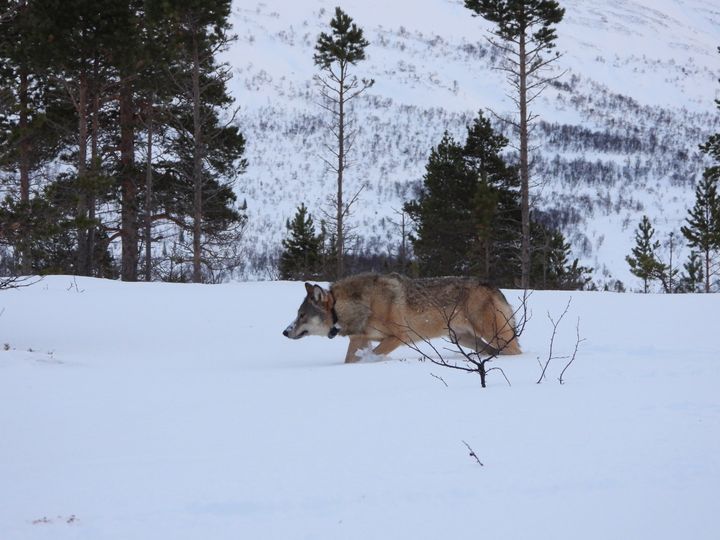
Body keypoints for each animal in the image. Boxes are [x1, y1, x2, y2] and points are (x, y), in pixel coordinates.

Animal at [282, 274, 524, 362]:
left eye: (302, 315)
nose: (285, 332)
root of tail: (492, 286)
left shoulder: (399, 337)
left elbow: (374, 355)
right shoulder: (360, 339)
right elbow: (350, 361)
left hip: (492, 334)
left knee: (515, 351)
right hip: (465, 339)